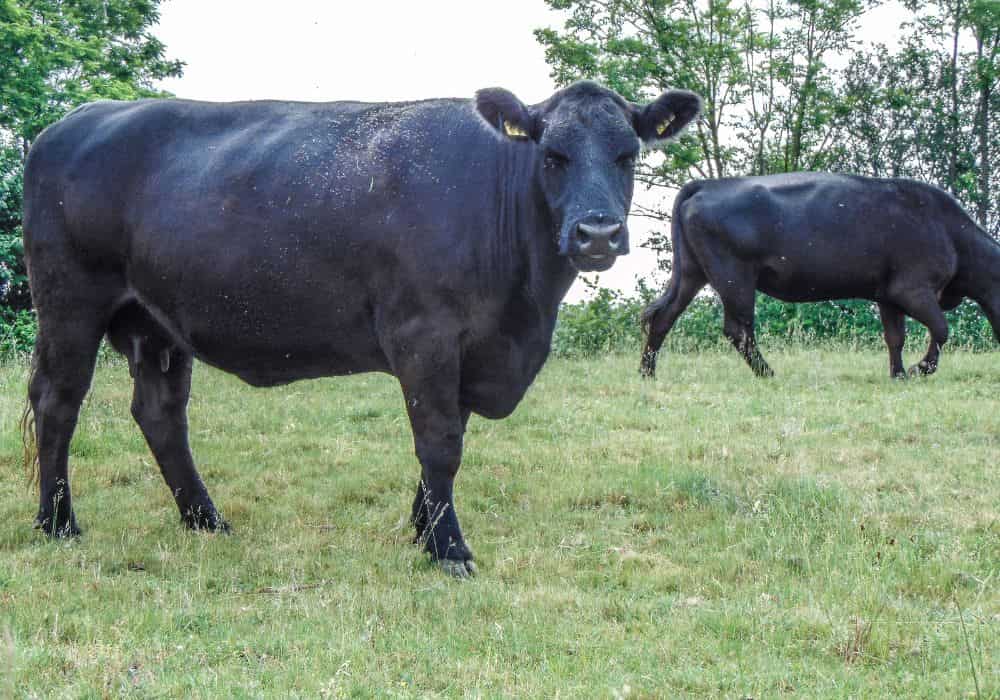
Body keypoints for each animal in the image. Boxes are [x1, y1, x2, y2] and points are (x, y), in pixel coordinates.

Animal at [21, 80, 700, 576]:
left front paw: (424, 531)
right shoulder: (425, 334)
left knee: (160, 413)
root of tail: (72, 122)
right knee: (58, 402)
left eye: (628, 155)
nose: (597, 234)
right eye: (552, 156)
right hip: (70, 303)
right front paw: (449, 550)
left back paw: (205, 520)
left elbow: (448, 441)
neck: (524, 310)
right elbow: (440, 443)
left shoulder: (474, 349)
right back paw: (57, 523)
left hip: (156, 322)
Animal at [639, 173, 1000, 380]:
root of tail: (709, 184)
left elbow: (895, 338)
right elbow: (941, 329)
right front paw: (920, 369)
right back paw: (767, 373)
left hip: (692, 272)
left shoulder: (888, 295)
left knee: (664, 316)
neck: (953, 235)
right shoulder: (913, 289)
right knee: (737, 329)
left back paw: (647, 372)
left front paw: (898, 374)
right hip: (735, 276)